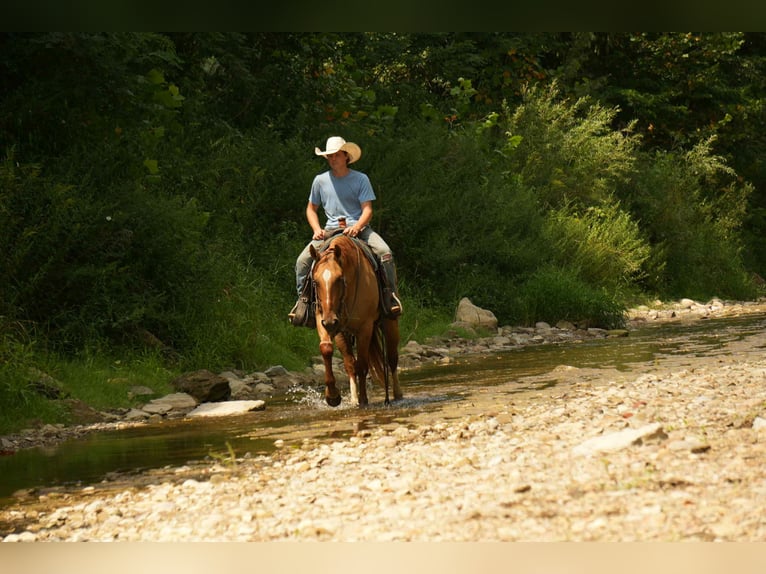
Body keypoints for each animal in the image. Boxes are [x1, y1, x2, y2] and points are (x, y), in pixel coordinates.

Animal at [310, 233, 402, 407]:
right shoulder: (329, 323)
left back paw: (397, 394)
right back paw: (353, 398)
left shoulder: (364, 328)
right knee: (351, 364)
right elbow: (329, 351)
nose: (330, 321)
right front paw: (333, 396)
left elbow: (362, 365)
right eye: (315, 282)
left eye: (339, 279)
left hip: (390, 323)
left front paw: (364, 399)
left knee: (392, 358)